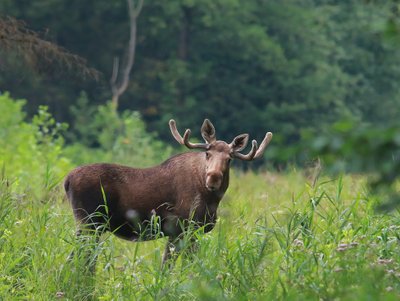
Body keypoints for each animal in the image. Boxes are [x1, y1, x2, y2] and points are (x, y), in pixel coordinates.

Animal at [65, 118, 272, 268]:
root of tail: (66, 181)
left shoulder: (188, 232)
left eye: (229, 159)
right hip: (89, 223)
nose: (213, 178)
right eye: (207, 153)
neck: (212, 201)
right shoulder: (181, 229)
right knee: (78, 258)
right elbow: (176, 267)